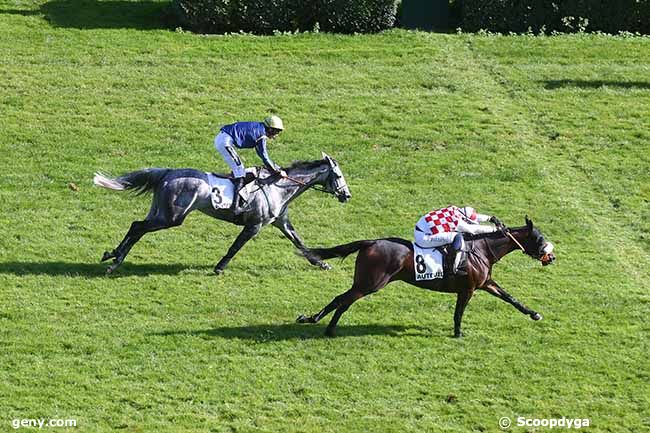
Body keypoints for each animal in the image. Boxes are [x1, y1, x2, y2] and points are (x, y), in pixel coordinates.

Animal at [92, 153, 350, 274]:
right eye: (338, 175)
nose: (347, 195)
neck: (277, 187)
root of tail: (168, 172)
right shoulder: (254, 225)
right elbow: (235, 247)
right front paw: (219, 267)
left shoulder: (281, 222)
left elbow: (301, 243)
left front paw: (321, 263)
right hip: (172, 217)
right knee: (138, 227)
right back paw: (115, 260)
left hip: (161, 211)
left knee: (136, 226)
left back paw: (113, 255)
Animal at [296, 218, 556, 336]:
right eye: (539, 238)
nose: (551, 257)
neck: (482, 249)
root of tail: (370, 242)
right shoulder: (468, 289)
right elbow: (459, 312)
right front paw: (458, 333)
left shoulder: (485, 283)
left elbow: (511, 298)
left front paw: (534, 314)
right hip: (371, 283)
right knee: (342, 300)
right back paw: (321, 324)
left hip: (365, 282)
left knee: (342, 300)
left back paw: (320, 323)